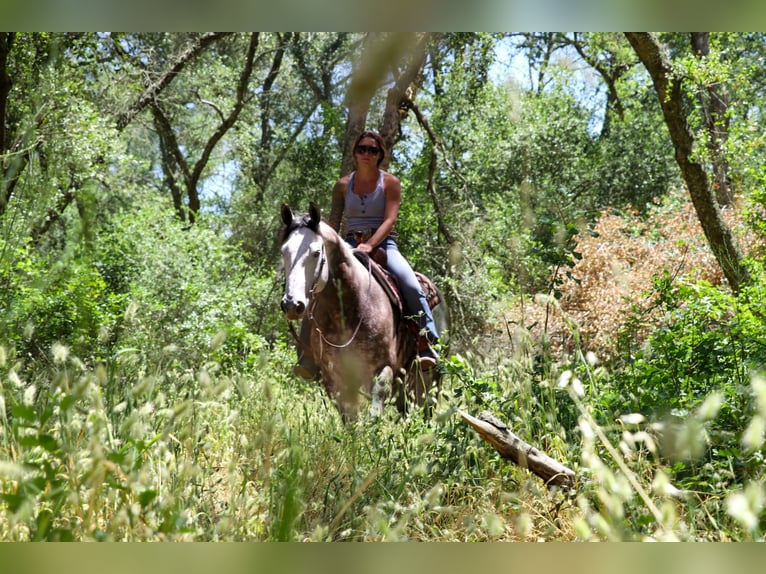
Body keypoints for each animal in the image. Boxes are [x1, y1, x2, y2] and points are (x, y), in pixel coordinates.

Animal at [279, 202, 445, 421]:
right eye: (284, 252)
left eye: (315, 253)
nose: (291, 304)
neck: (346, 311)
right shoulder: (334, 378)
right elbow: (350, 419)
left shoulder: (384, 369)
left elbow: (374, 414)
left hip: (428, 379)